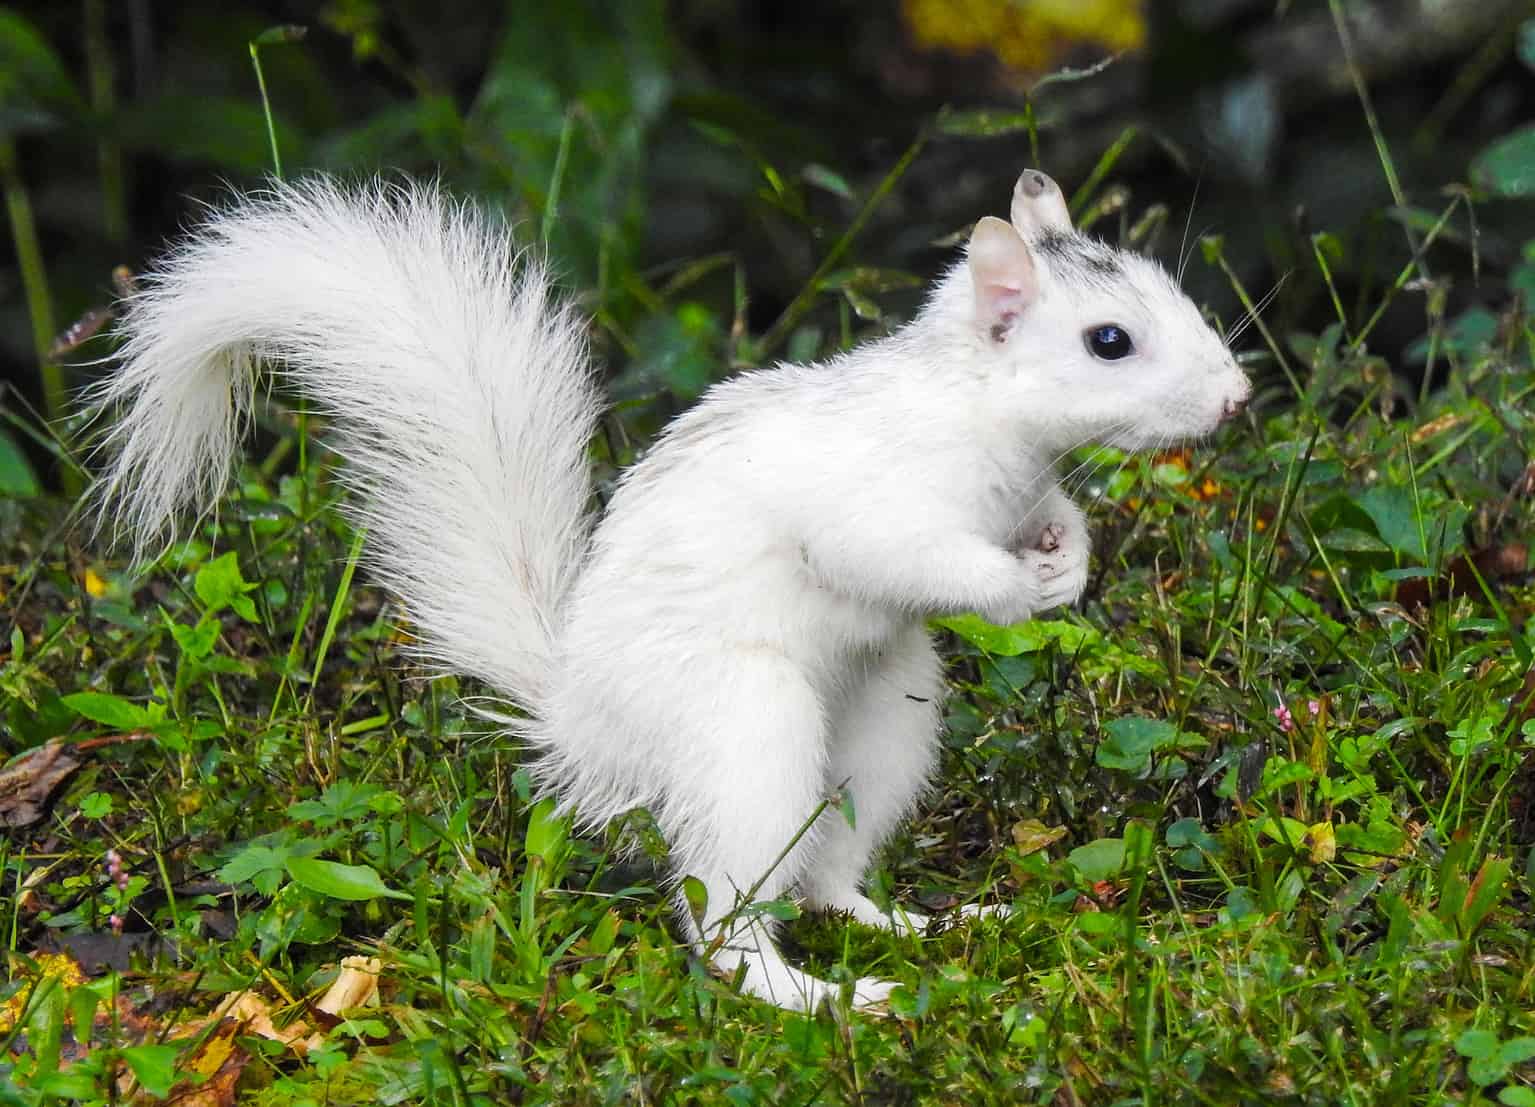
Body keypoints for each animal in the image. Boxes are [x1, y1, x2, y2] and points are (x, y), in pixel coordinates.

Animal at [92, 166, 1246, 1013]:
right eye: (1108, 342)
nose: (1235, 396)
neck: (976, 414)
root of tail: (585, 730)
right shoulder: (869, 504)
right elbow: (906, 558)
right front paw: (1012, 586)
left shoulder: (1022, 489)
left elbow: (1057, 518)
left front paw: (1067, 561)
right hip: (748, 731)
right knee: (727, 924)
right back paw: (818, 996)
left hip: (885, 727)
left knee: (826, 877)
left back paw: (912, 925)